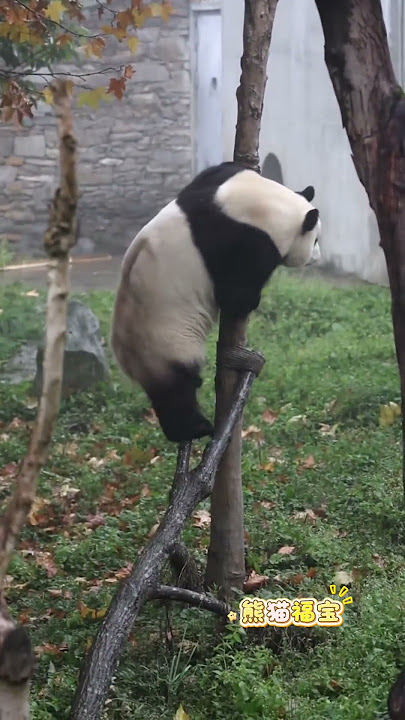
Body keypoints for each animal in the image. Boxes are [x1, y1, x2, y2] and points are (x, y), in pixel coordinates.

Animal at [111, 161, 321, 443]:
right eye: (315, 239)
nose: (317, 256)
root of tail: (127, 362)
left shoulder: (210, 186)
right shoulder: (242, 243)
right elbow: (235, 296)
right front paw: (252, 300)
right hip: (164, 342)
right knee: (176, 391)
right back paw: (195, 429)